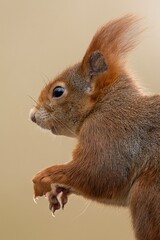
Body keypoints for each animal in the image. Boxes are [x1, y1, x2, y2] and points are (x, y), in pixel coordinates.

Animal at [29, 15, 160, 240]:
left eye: (58, 91)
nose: (32, 116)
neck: (105, 103)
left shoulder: (110, 133)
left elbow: (100, 173)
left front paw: (45, 175)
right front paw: (58, 191)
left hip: (146, 195)